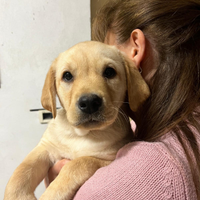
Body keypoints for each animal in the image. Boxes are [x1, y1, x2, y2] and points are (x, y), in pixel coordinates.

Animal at [4, 41, 150, 200]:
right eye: (67, 75)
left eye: (109, 72)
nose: (90, 102)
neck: (81, 134)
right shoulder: (45, 148)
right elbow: (22, 171)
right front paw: (18, 196)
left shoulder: (107, 160)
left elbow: (78, 163)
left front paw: (51, 193)